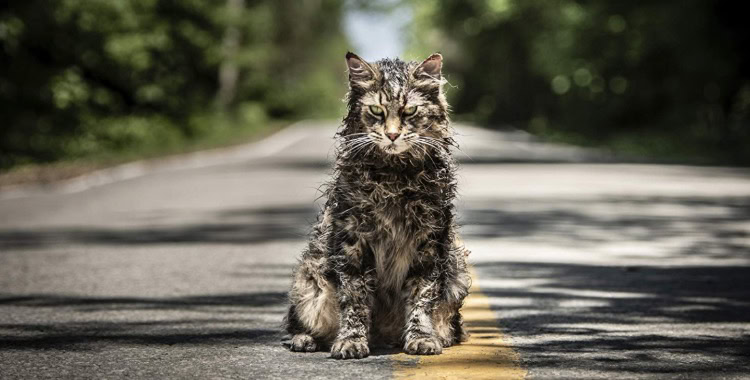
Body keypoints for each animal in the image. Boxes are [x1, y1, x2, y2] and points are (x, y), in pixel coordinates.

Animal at [284, 51, 470, 360]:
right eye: (376, 111)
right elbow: (355, 300)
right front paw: (351, 341)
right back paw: (305, 339)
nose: (392, 135)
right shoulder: (353, 242)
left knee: (449, 325)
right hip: (310, 279)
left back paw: (437, 337)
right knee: (297, 322)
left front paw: (422, 338)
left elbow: (421, 297)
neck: (394, 177)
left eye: (409, 112)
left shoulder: (429, 243)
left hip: (457, 272)